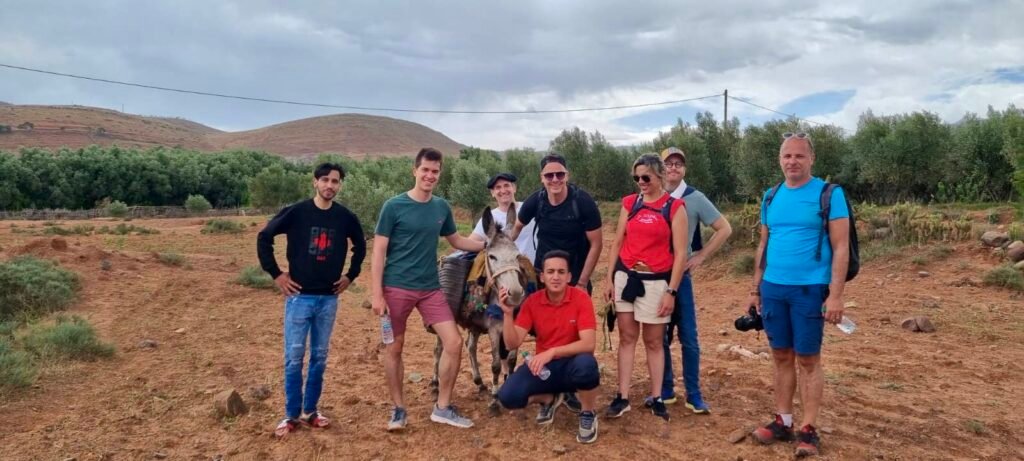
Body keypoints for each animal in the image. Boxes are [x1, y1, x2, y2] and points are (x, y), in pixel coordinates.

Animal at [430, 205, 528, 415]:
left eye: (517, 256)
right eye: (492, 256)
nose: (515, 294)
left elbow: (512, 360)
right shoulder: (494, 330)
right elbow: (496, 365)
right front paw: (494, 401)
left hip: (474, 325)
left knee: (471, 347)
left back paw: (479, 382)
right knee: (439, 349)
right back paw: (434, 384)